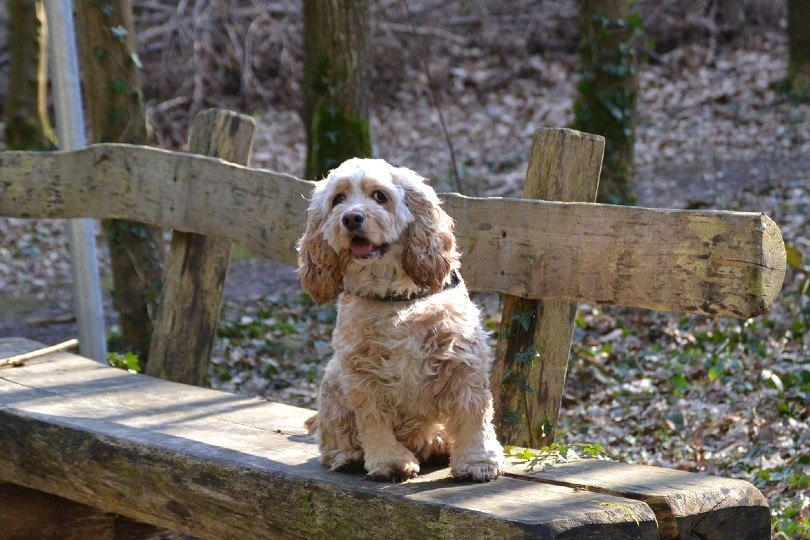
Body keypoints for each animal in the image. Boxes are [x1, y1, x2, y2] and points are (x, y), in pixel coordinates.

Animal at [296, 158, 498, 484]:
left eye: (380, 196)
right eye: (338, 199)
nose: (351, 218)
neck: (393, 296)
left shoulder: (462, 361)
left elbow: (473, 415)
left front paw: (477, 461)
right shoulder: (361, 373)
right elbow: (373, 422)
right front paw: (389, 462)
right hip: (333, 382)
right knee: (331, 435)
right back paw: (347, 457)